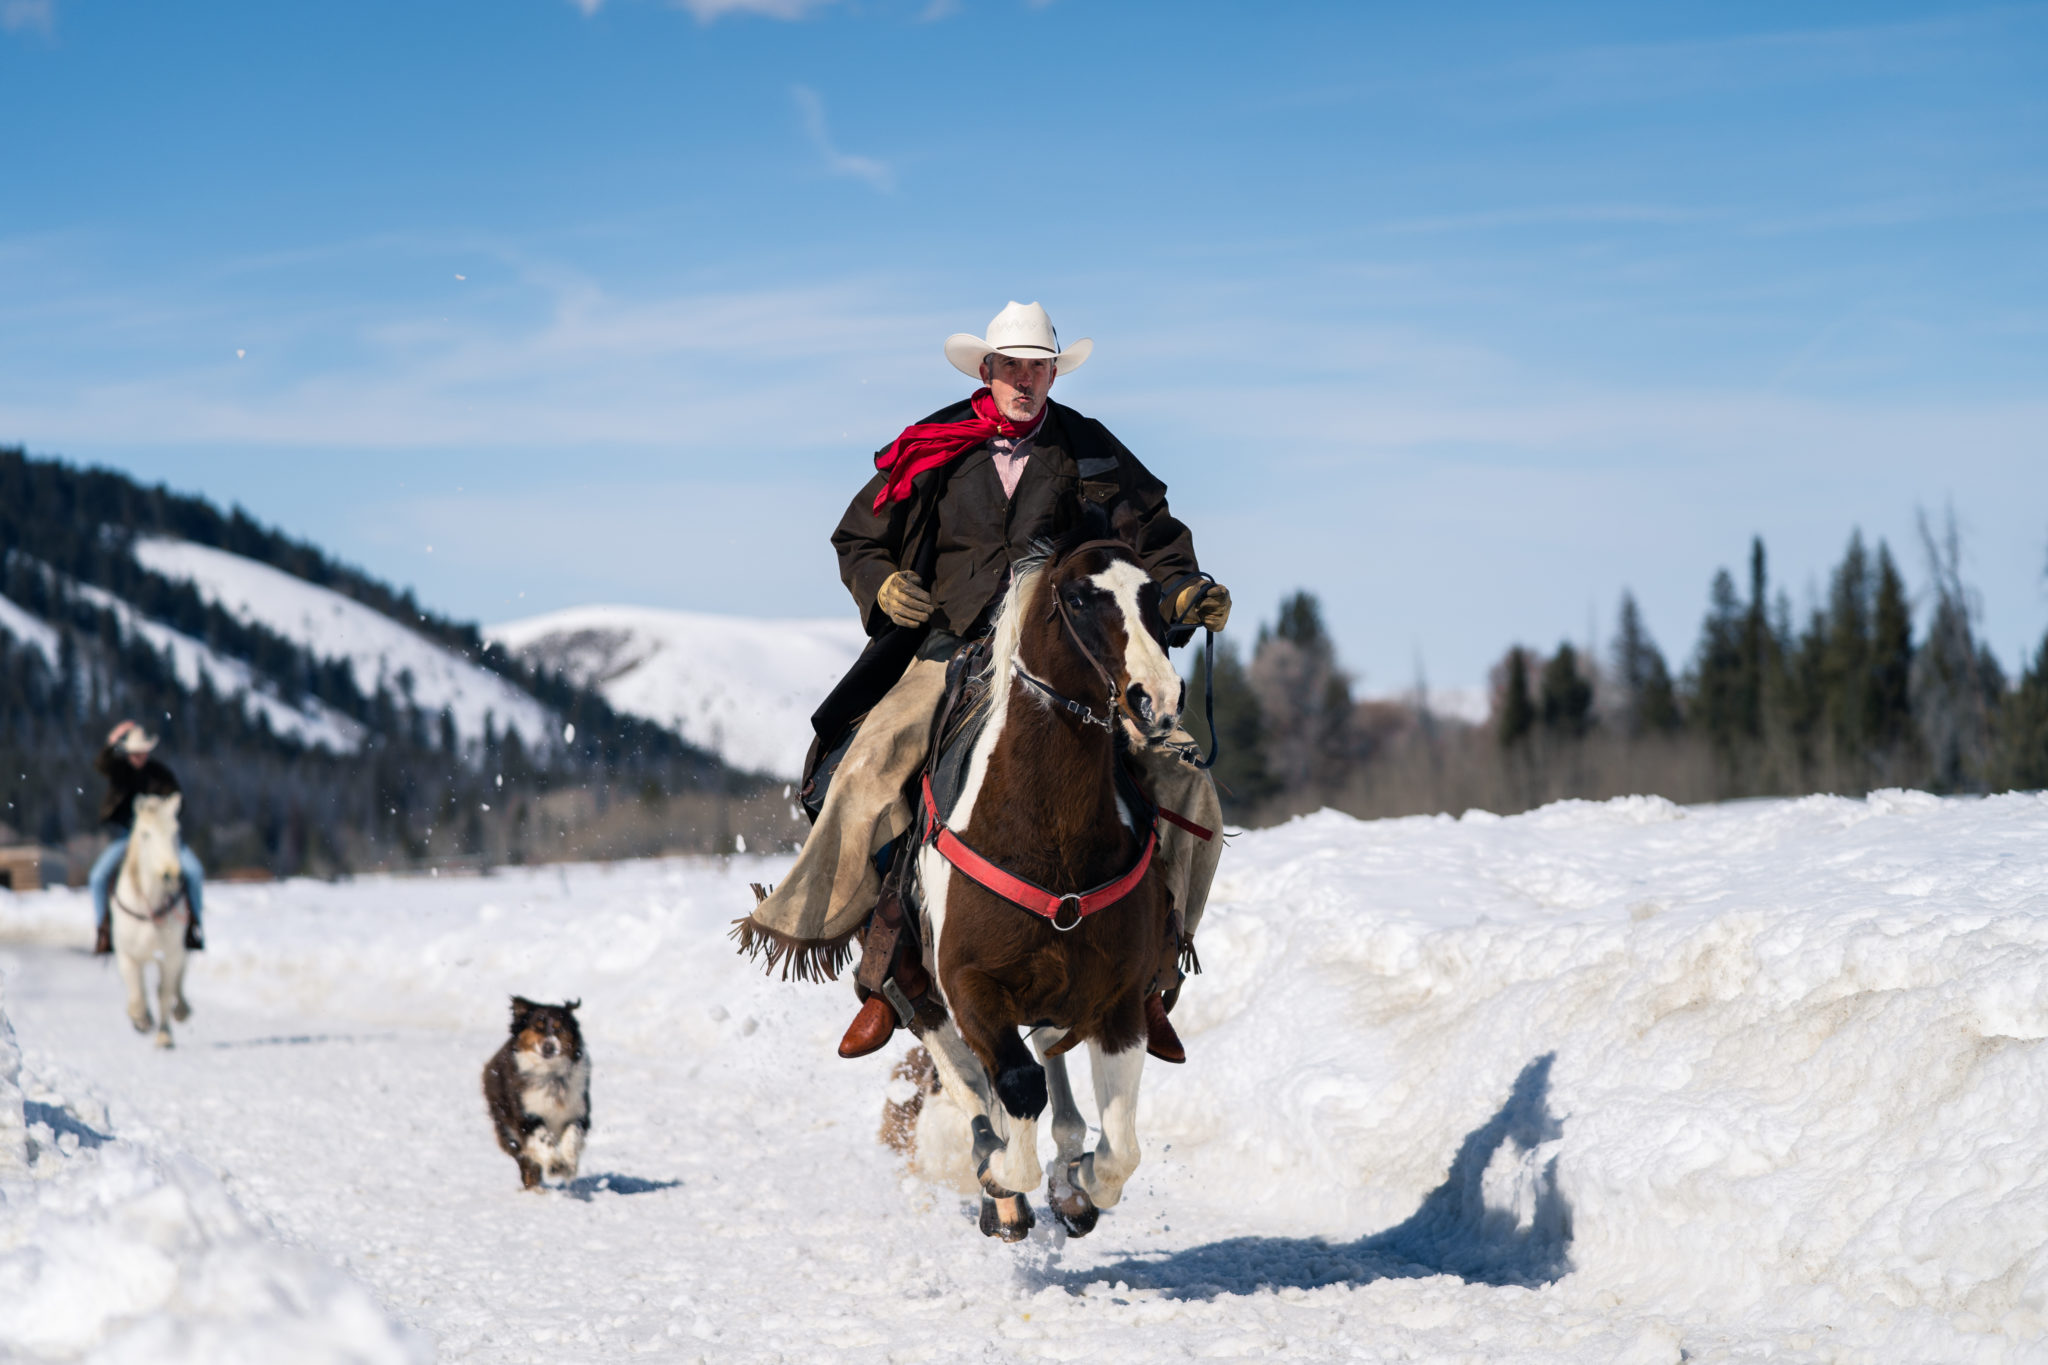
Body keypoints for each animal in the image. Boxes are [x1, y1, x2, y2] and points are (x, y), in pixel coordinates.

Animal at [112, 789, 193, 1047]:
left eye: (176, 831)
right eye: (146, 834)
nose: (171, 874)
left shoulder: (171, 955)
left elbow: (164, 992)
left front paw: (164, 1036)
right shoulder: (127, 954)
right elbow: (136, 988)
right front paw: (139, 1017)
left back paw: (182, 1009)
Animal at [473, 998, 585, 1186]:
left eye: (559, 1028)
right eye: (537, 1027)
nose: (548, 1046)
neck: (550, 1075)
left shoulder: (577, 1112)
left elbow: (573, 1135)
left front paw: (568, 1165)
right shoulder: (526, 1116)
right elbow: (543, 1138)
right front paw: (555, 1164)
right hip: (505, 1124)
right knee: (524, 1159)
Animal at [917, 540, 1187, 1244]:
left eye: (1155, 596)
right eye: (1081, 597)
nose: (1158, 697)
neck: (1049, 837)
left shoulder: (1120, 1001)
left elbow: (1120, 1151)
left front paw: (1081, 1177)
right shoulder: (967, 982)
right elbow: (1012, 1086)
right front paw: (1000, 1175)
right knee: (975, 1075)